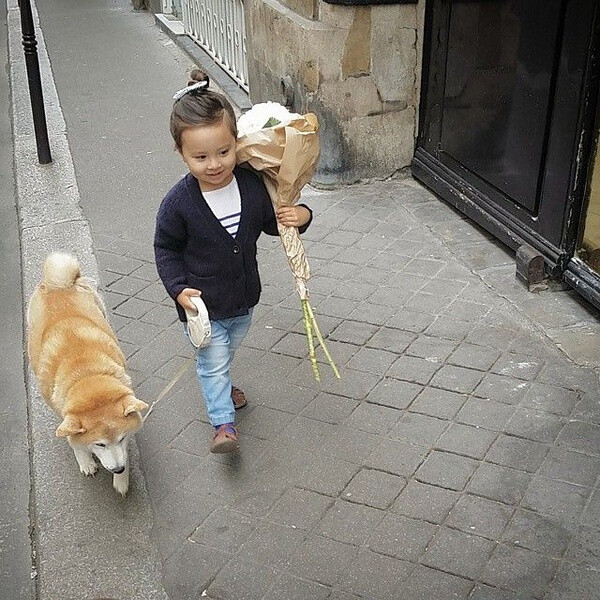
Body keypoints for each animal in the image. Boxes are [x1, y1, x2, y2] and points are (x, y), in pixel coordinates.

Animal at [27, 251, 150, 494]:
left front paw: (122, 480)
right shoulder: (65, 412)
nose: (118, 469)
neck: (87, 374)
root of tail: (57, 284)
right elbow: (73, 440)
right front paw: (85, 461)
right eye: (100, 444)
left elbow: (126, 452)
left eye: (121, 438)